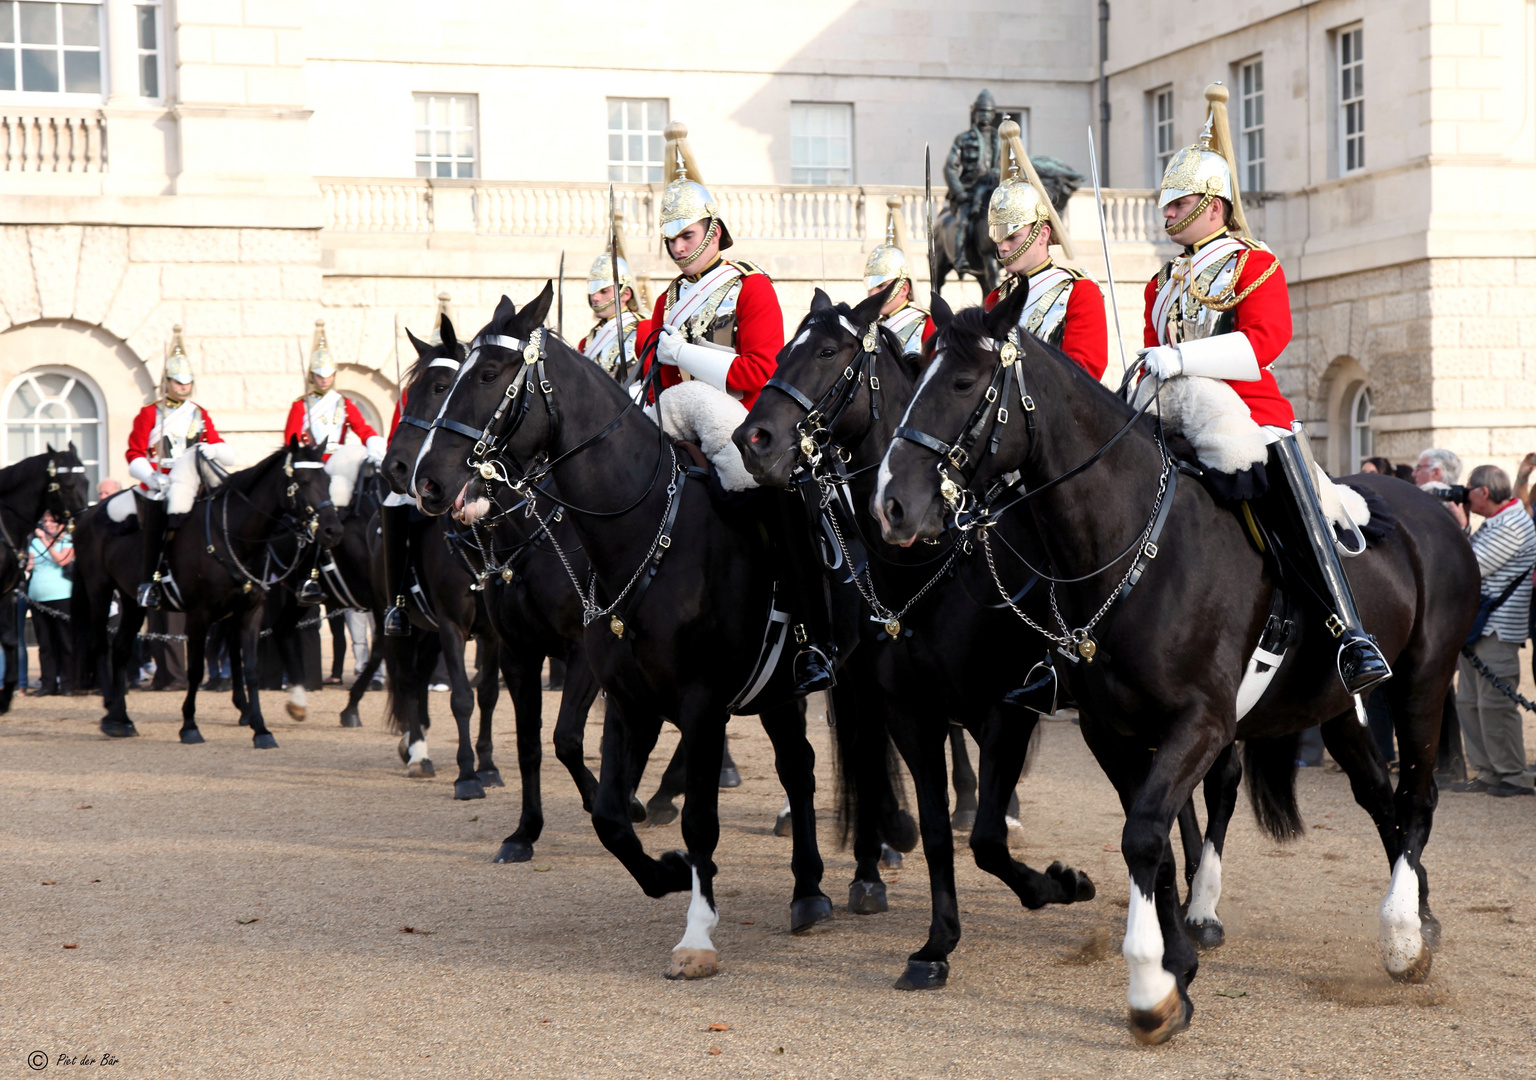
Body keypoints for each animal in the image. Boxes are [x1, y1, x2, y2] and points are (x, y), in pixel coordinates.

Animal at [0, 445, 89, 709]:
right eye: (66, 484)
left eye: (87, 481)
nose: (84, 523)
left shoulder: (5, 596)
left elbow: (9, 641)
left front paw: (5, 697)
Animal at [414, 287, 878, 983]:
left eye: (489, 374)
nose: (425, 480)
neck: (641, 533)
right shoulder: (626, 698)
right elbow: (605, 810)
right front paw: (667, 872)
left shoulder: (700, 703)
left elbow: (700, 820)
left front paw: (697, 935)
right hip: (775, 691)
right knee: (798, 767)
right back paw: (808, 889)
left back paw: (861, 871)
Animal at [731, 285, 1093, 989]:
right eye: (781, 352)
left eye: (828, 351)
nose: (752, 439)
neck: (932, 560)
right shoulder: (899, 701)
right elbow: (932, 826)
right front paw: (935, 941)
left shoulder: (1005, 709)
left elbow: (985, 836)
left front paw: (1059, 885)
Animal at [872, 288, 1480, 1044]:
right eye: (914, 381)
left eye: (961, 383)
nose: (892, 505)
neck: (1130, 546)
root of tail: (1432, 508)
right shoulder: (1109, 729)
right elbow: (1152, 840)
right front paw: (1177, 965)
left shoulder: (1198, 723)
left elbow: (1141, 835)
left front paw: (1152, 987)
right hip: (1336, 704)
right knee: (1379, 798)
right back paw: (1417, 918)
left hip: (1421, 686)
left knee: (1417, 796)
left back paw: (1400, 933)